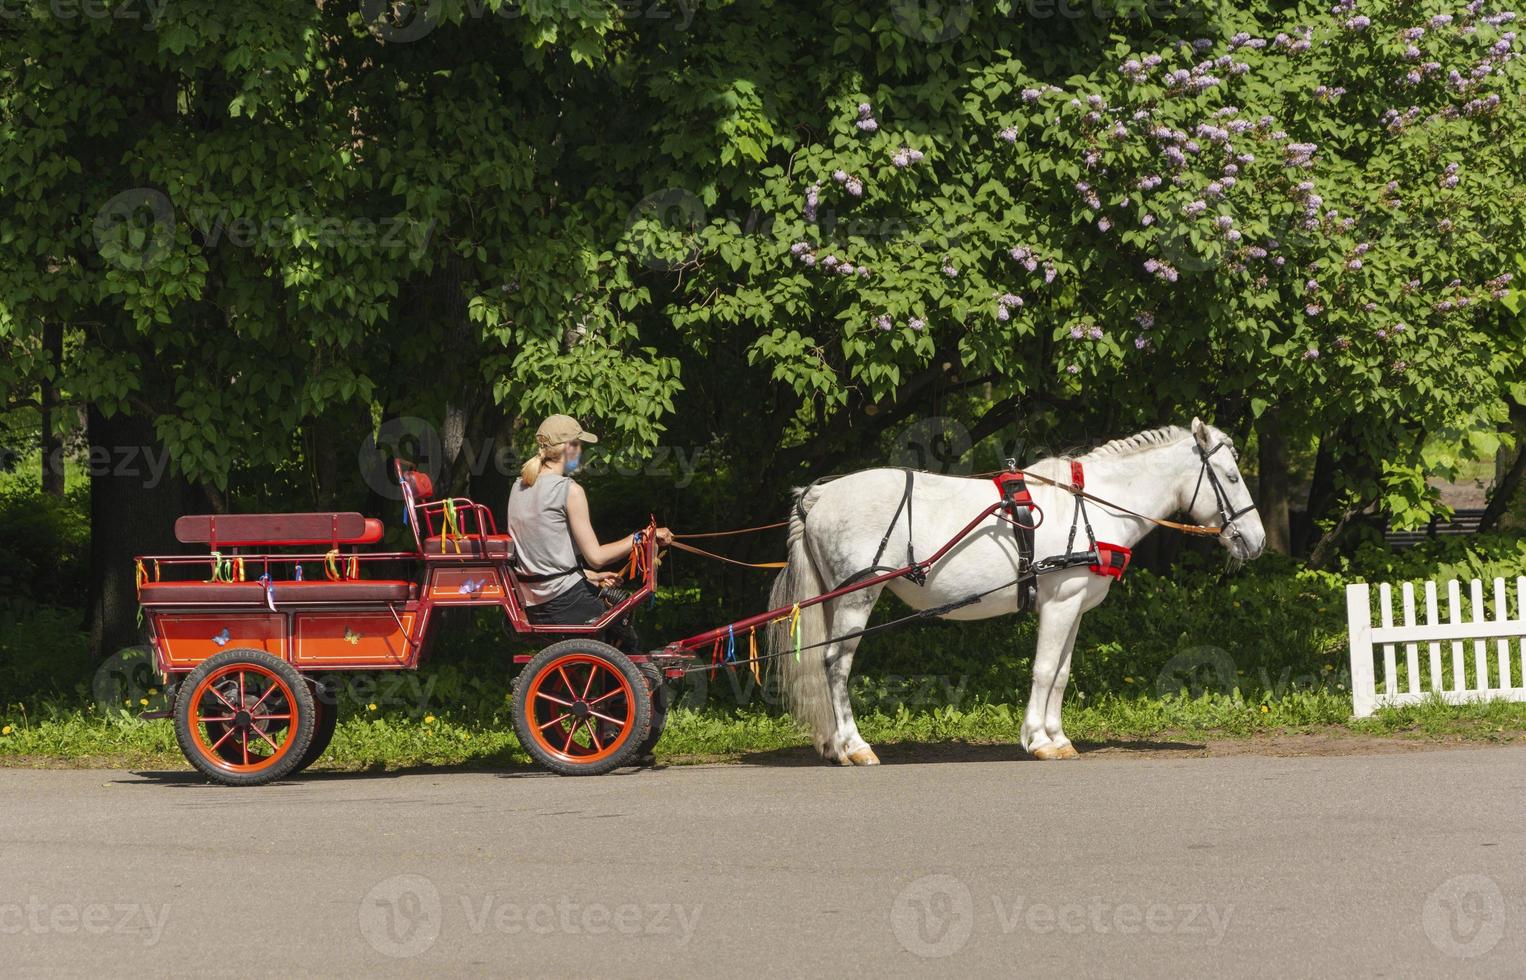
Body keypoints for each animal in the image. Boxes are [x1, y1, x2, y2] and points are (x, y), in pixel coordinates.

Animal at [775, 415, 1263, 760]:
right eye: (1232, 477)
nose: (1256, 541)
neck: (1090, 507)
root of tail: (818, 495)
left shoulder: (1074, 606)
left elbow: (1062, 673)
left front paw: (1058, 738)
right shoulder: (1060, 602)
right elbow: (1044, 670)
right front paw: (1038, 740)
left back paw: (834, 745)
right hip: (856, 597)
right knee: (835, 664)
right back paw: (854, 746)